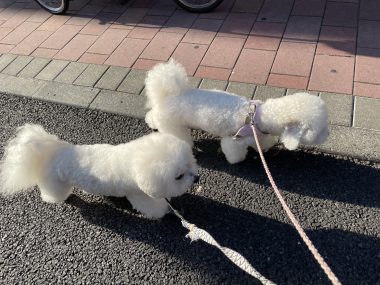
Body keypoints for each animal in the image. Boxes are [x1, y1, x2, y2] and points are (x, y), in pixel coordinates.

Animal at [0, 123, 197, 219]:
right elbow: (152, 206)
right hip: (56, 183)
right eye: (179, 176)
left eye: (190, 163)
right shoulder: (138, 194)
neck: (132, 159)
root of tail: (51, 150)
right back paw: (53, 199)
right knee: (54, 193)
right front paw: (163, 210)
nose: (196, 179)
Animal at [144, 58, 328, 163]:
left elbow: (263, 143)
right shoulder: (235, 140)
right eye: (319, 131)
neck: (260, 117)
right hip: (174, 125)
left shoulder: (259, 134)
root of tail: (169, 93)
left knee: (153, 115)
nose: (328, 135)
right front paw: (236, 161)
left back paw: (150, 121)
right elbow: (233, 151)